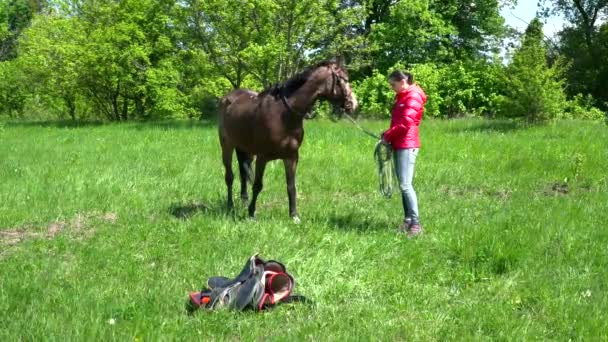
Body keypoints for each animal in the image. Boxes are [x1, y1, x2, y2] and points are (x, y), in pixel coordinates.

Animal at [220, 60, 356, 223]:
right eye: (344, 80)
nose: (353, 103)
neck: (284, 115)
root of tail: (228, 98)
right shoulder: (262, 157)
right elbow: (258, 185)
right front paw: (252, 213)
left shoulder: (291, 157)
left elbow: (291, 186)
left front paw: (294, 215)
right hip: (227, 147)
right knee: (229, 177)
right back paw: (230, 206)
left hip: (246, 150)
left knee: (243, 175)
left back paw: (244, 202)